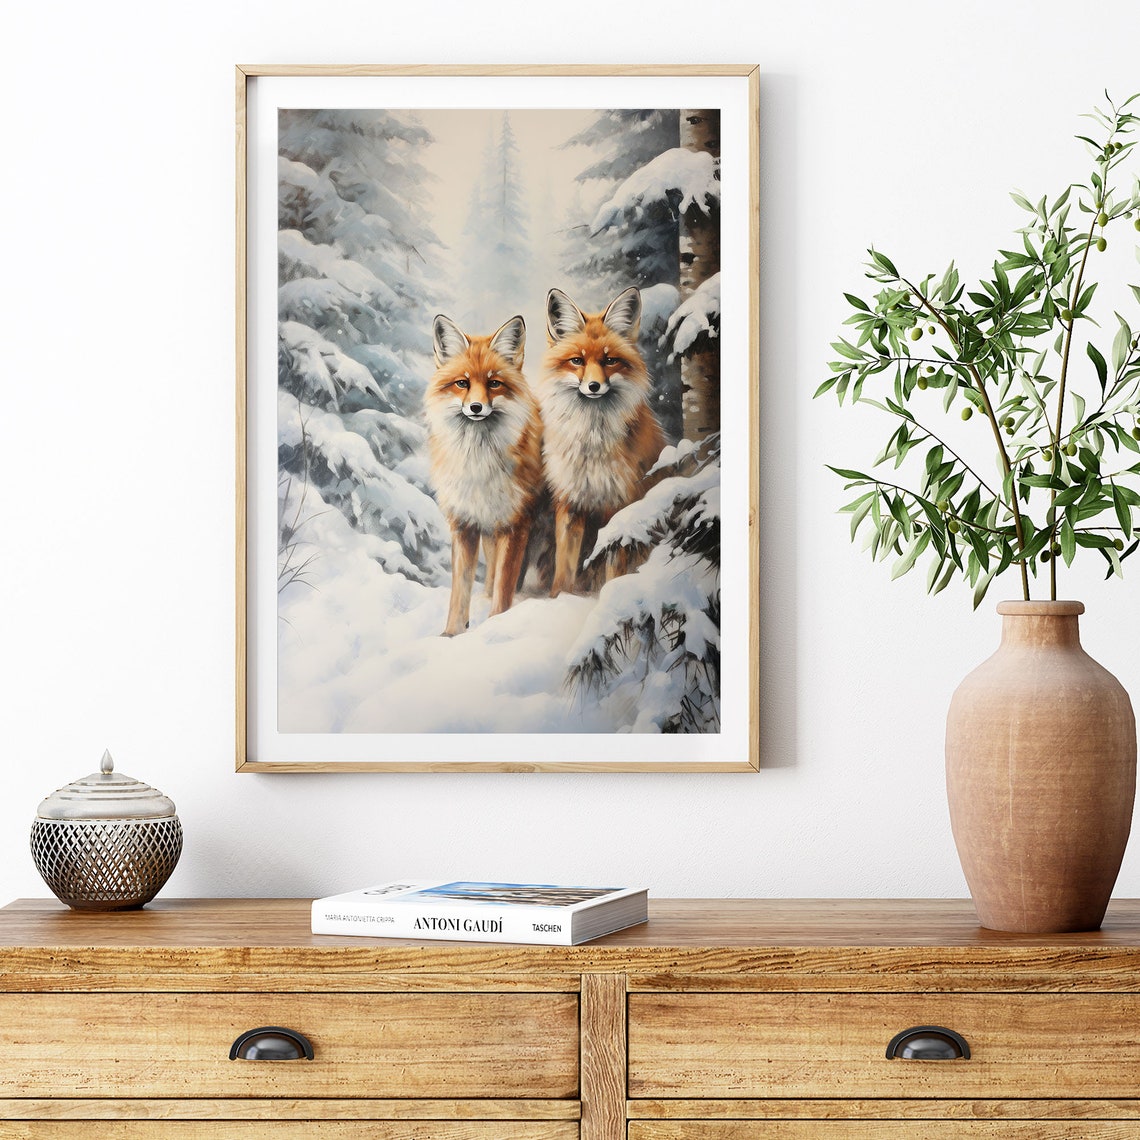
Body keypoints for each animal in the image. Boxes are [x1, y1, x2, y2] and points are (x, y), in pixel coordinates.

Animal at [424, 313, 544, 637]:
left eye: (494, 383)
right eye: (462, 383)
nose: (476, 407)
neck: (478, 463)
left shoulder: (516, 525)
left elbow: (504, 590)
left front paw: (495, 629)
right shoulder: (464, 524)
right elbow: (460, 590)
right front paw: (452, 634)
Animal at [538, 286, 665, 596]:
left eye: (609, 360)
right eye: (577, 360)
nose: (594, 386)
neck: (591, 445)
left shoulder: (621, 505)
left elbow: (614, 566)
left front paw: (608, 599)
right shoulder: (570, 501)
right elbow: (564, 567)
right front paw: (558, 599)